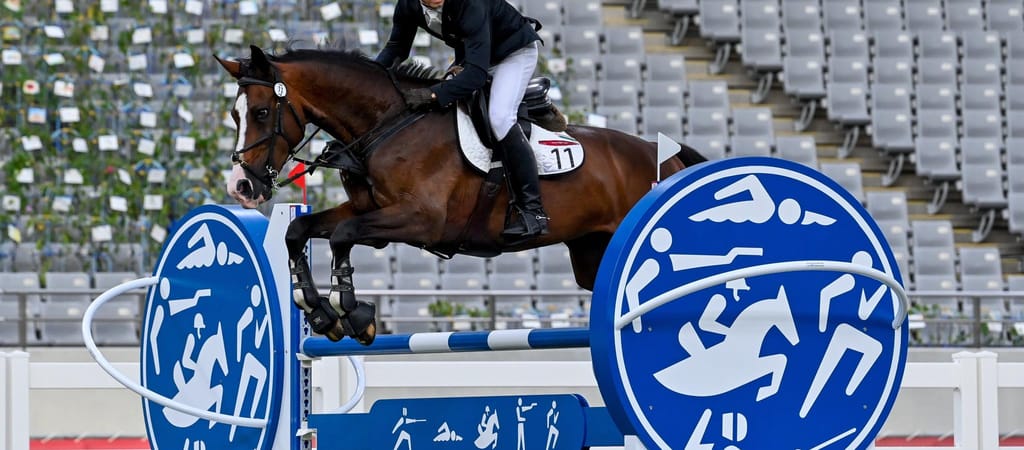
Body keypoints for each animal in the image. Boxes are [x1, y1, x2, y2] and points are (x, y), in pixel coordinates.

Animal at [214, 45, 707, 345]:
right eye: (234, 115)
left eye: (262, 112)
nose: (241, 186)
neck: (388, 124)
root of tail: (667, 157)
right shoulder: (373, 215)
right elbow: (300, 229)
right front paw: (319, 312)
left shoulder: (421, 220)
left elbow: (342, 236)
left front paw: (352, 313)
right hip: (593, 254)